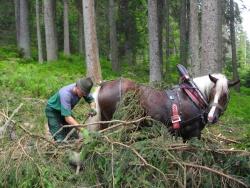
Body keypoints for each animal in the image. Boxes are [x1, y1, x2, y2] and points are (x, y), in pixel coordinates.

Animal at [87, 73, 238, 141]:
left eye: (225, 95)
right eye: (213, 92)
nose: (211, 117)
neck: (195, 96)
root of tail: (104, 85)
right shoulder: (193, 133)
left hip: (105, 123)